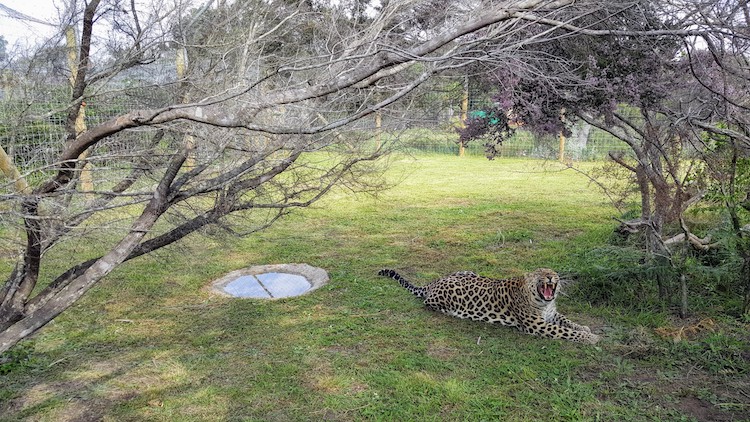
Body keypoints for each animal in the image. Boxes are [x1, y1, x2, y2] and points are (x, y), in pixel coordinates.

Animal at [378, 268, 604, 344]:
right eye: (540, 273)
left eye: (554, 274)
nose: (550, 277)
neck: (542, 301)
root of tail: (434, 282)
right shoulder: (537, 325)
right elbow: (565, 331)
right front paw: (591, 338)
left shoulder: (551, 315)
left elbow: (568, 321)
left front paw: (585, 328)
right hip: (446, 295)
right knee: (428, 302)